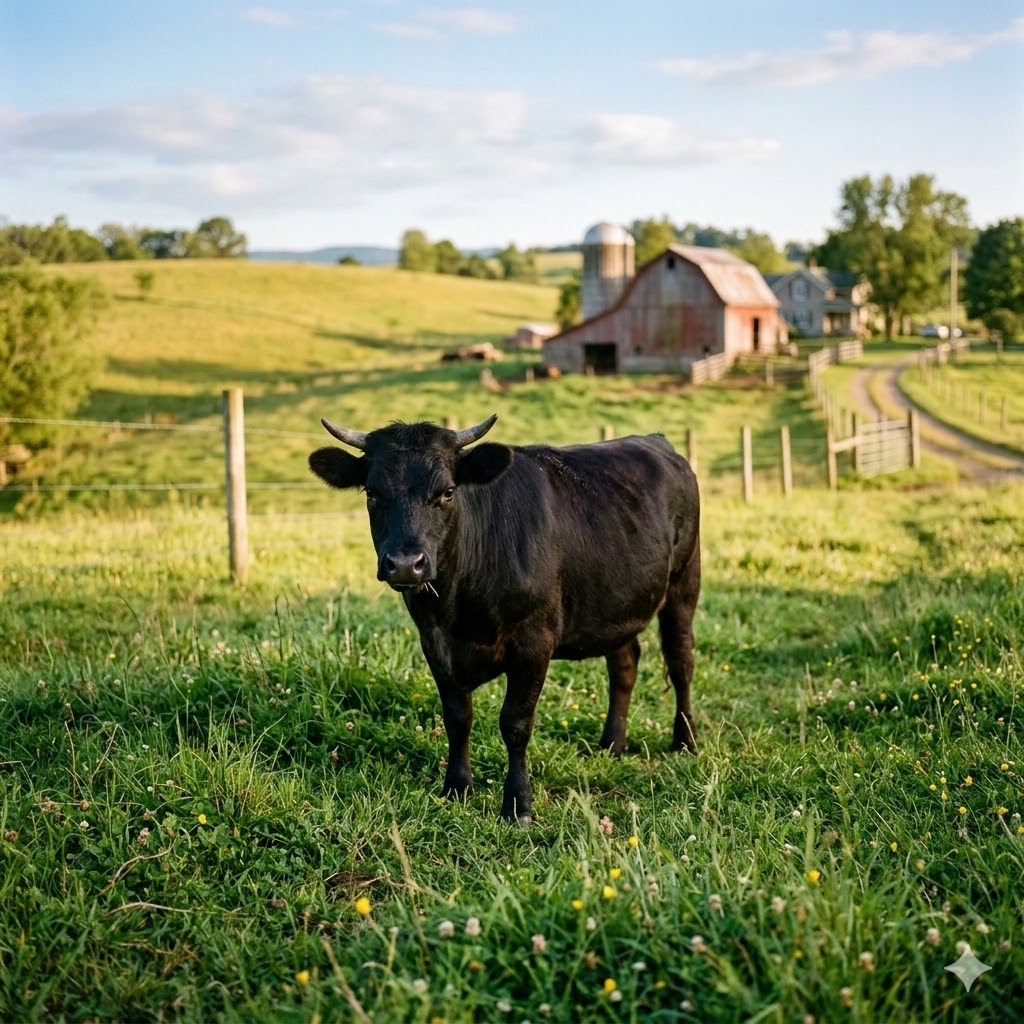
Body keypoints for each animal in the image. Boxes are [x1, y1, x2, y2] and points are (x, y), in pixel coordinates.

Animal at [309, 414, 700, 824]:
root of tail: (656, 441)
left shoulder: (534, 642)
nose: (404, 564)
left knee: (680, 660)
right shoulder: (434, 641)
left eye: (447, 492)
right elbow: (457, 717)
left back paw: (685, 741)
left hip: (684, 581)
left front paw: (517, 804)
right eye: (371, 493)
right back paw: (612, 744)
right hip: (616, 603)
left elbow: (515, 723)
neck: (461, 609)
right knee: (624, 663)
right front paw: (456, 788)